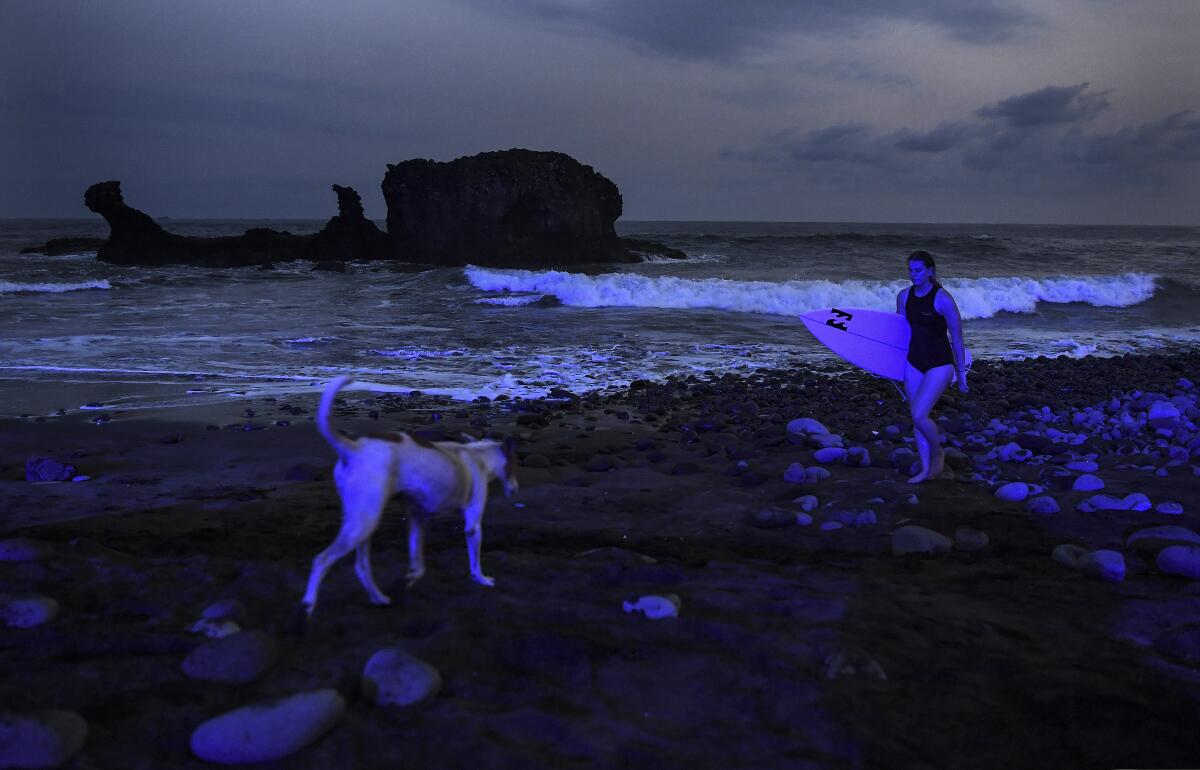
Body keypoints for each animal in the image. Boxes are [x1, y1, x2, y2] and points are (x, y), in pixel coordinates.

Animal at [300, 374, 516, 614]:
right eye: (514, 466)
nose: (516, 488)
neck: (477, 455)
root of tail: (353, 448)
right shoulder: (472, 524)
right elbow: (474, 562)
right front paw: (482, 579)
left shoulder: (417, 518)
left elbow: (418, 565)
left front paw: (406, 580)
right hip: (363, 522)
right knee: (322, 560)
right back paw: (308, 606)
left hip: (363, 523)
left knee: (361, 566)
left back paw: (379, 598)